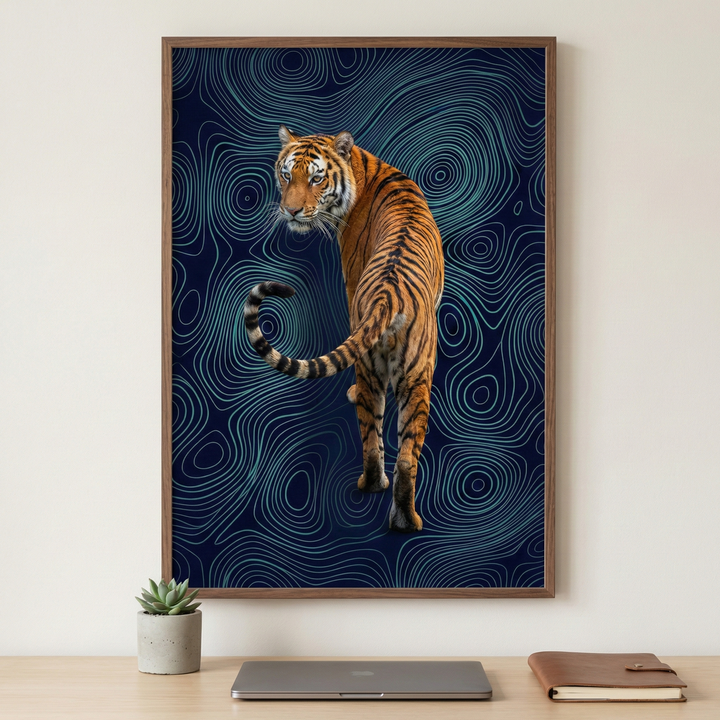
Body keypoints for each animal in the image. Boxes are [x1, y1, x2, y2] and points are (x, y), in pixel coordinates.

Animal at [244, 125, 444, 532]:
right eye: (286, 175)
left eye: (316, 178)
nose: (290, 210)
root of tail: (390, 296)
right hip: (416, 374)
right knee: (405, 455)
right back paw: (405, 518)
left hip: (376, 369)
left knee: (371, 435)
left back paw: (372, 485)